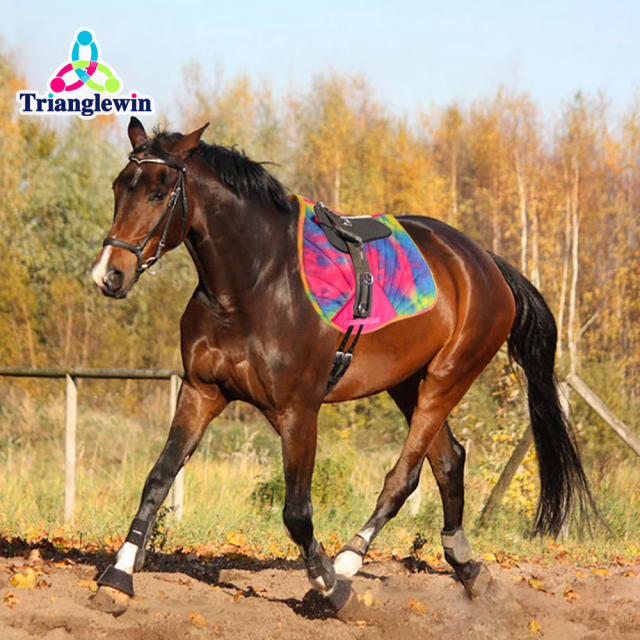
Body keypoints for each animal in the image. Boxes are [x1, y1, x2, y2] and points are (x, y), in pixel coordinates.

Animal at [89, 116, 593, 616]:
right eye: (117, 186)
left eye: (159, 193)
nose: (108, 275)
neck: (252, 283)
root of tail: (485, 262)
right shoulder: (201, 391)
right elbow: (157, 480)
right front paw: (118, 577)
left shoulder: (298, 410)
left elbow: (297, 512)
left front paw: (330, 586)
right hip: (407, 383)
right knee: (449, 461)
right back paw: (468, 568)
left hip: (447, 379)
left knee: (404, 476)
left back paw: (351, 560)